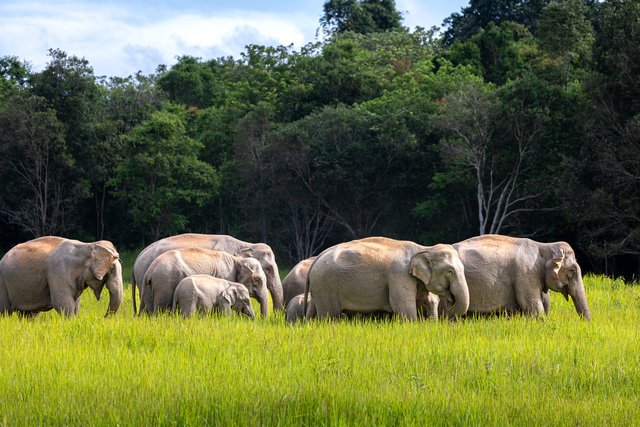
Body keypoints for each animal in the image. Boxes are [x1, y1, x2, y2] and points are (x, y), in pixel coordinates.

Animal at [131, 234, 282, 314]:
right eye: (268, 269)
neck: (245, 245)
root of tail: (137, 258)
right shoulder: (224, 274)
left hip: (145, 284)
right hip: (161, 281)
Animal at [304, 237, 470, 320]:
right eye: (450, 271)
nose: (451, 298)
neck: (423, 248)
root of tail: (316, 259)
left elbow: (426, 299)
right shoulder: (399, 276)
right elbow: (403, 307)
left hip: (319, 287)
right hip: (326, 286)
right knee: (328, 316)